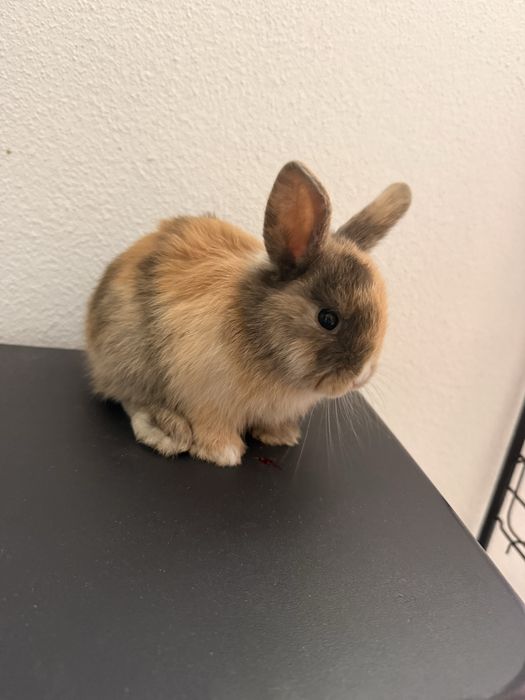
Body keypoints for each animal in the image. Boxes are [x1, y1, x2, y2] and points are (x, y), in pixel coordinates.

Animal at [85, 161, 411, 467]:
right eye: (327, 319)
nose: (361, 376)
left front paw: (281, 437)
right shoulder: (207, 397)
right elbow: (211, 426)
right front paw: (223, 452)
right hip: (130, 356)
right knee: (128, 398)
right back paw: (168, 431)